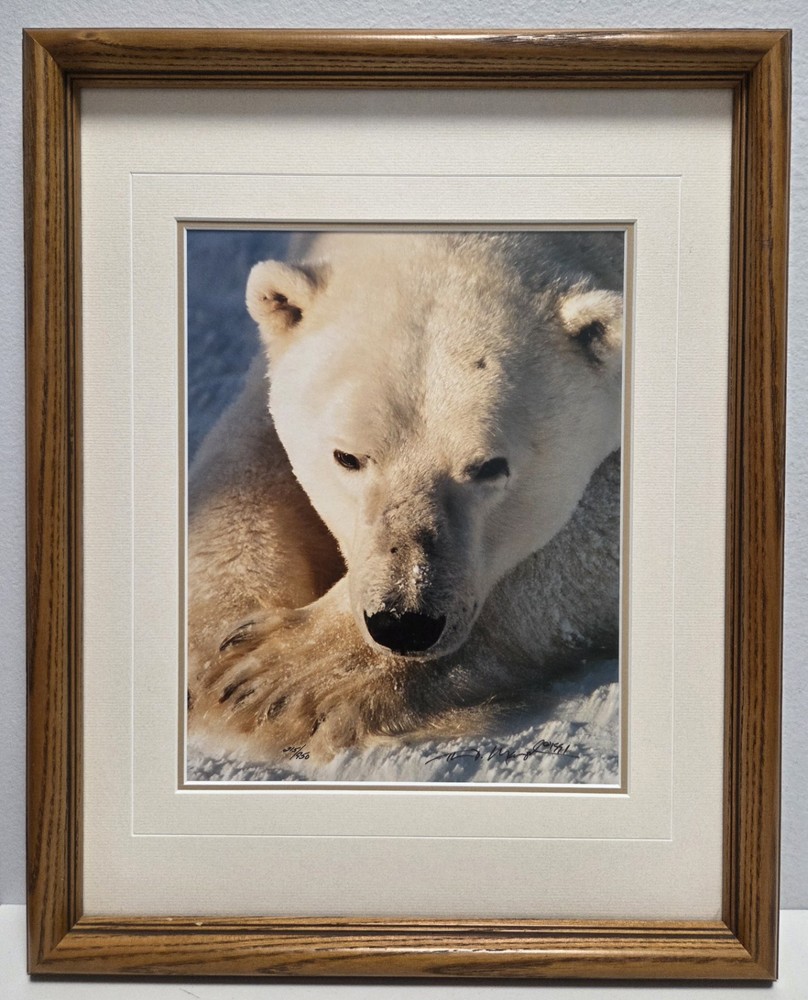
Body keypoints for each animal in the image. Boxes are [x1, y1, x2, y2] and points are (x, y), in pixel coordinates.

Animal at [186, 230, 624, 763]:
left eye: (491, 467)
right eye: (347, 457)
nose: (404, 622)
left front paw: (285, 677)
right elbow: (252, 442)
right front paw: (214, 650)